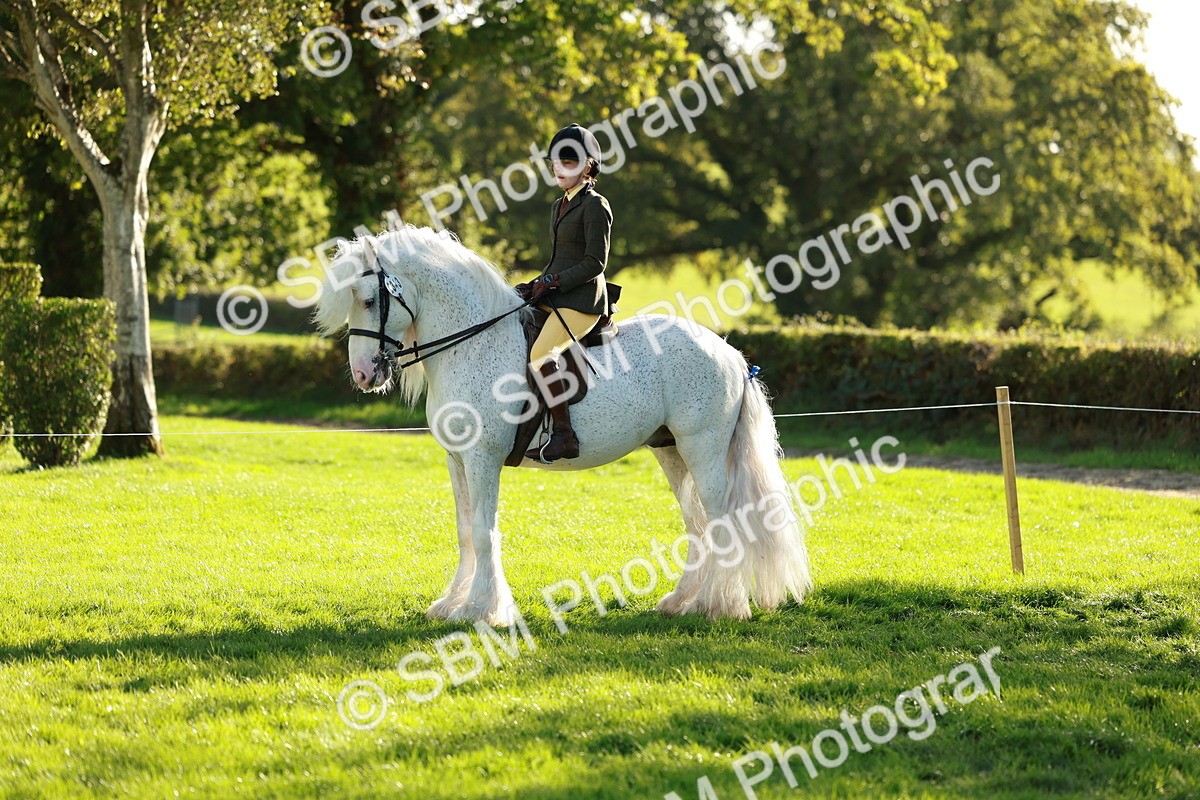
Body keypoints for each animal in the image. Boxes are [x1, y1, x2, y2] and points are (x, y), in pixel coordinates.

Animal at [313, 227, 812, 627]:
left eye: (370, 300)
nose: (364, 374)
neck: (471, 343)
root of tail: (730, 354)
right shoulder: (457, 460)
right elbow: (465, 532)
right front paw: (452, 604)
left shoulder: (483, 459)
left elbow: (484, 531)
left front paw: (482, 611)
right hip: (671, 450)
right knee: (699, 522)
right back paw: (682, 602)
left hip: (702, 448)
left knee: (723, 521)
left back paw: (719, 605)